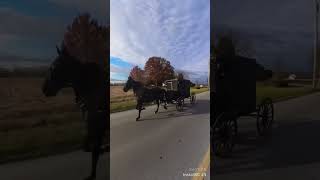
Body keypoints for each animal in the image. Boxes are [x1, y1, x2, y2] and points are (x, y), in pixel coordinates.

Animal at [42, 44, 109, 179]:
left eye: (54, 66)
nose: (44, 88)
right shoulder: (93, 126)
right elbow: (88, 147)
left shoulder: (98, 125)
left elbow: (94, 151)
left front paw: (92, 175)